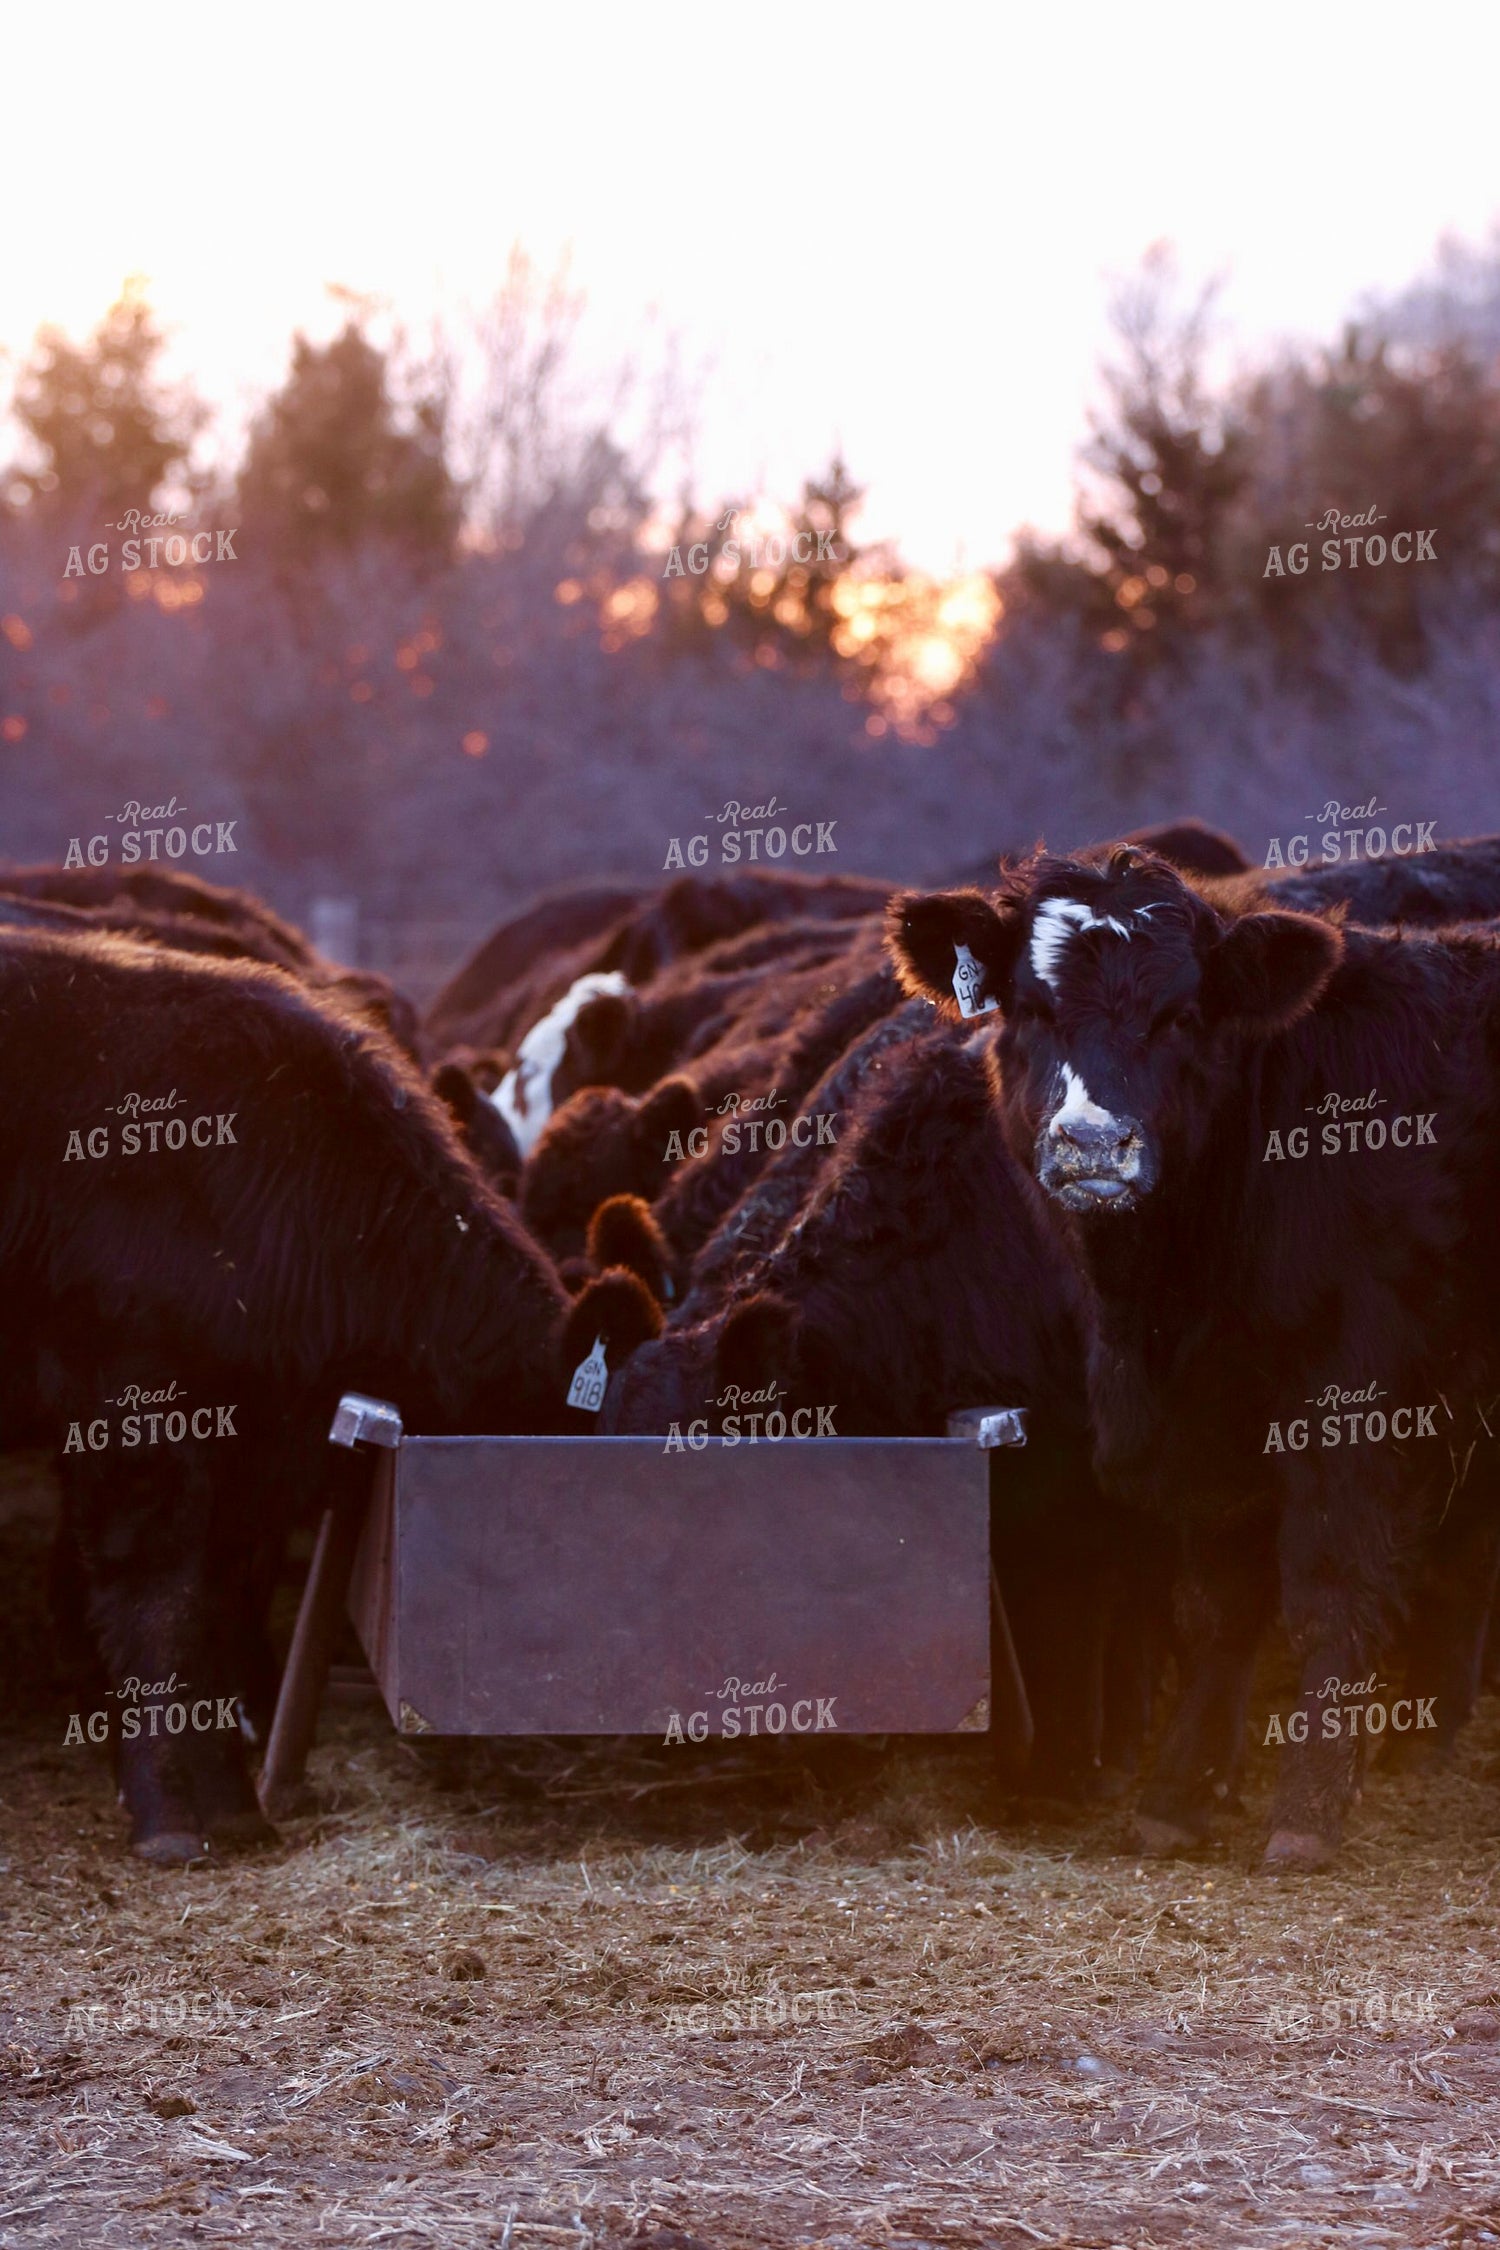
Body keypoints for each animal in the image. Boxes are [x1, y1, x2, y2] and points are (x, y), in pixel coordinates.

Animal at [887, 845, 1500, 1869]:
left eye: (1179, 1015)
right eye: (1030, 1008)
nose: (1094, 1144)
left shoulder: (1354, 1404)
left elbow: (1329, 1587)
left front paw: (1308, 1808)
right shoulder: (1208, 1420)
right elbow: (1220, 1599)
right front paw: (1180, 1790)